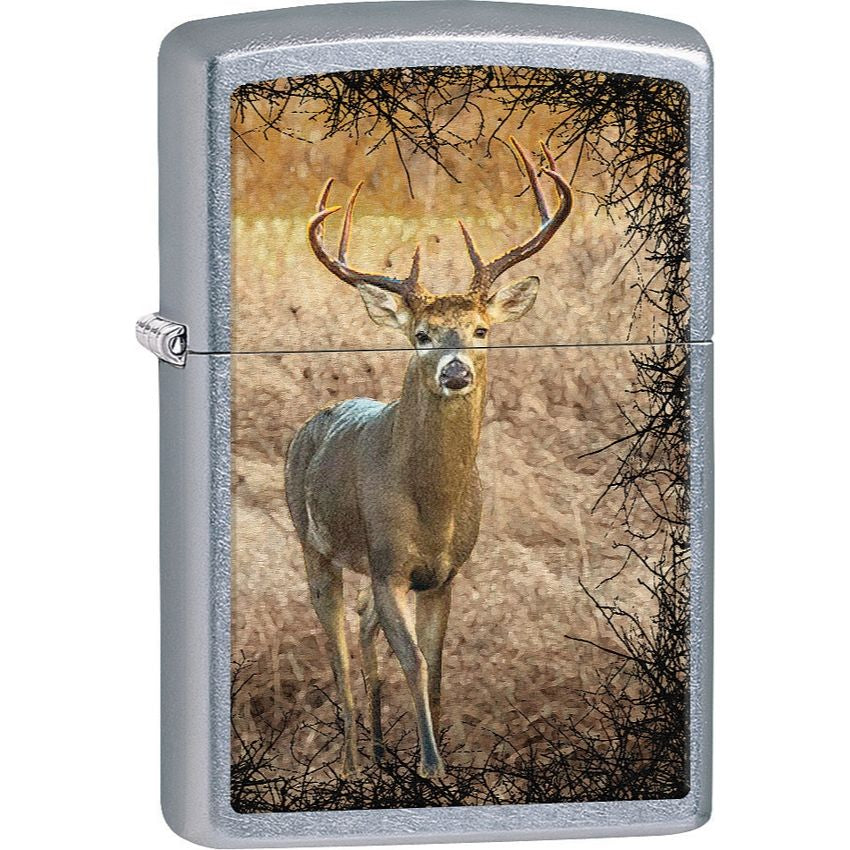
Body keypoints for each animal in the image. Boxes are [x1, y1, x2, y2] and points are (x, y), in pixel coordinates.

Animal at [284, 137, 572, 779]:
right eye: (421, 334)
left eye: (481, 329)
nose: (456, 371)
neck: (432, 505)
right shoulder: (389, 562)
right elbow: (414, 661)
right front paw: (431, 765)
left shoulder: (444, 574)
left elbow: (436, 668)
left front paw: (434, 762)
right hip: (314, 542)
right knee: (337, 649)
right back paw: (353, 760)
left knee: (362, 626)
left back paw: (376, 749)